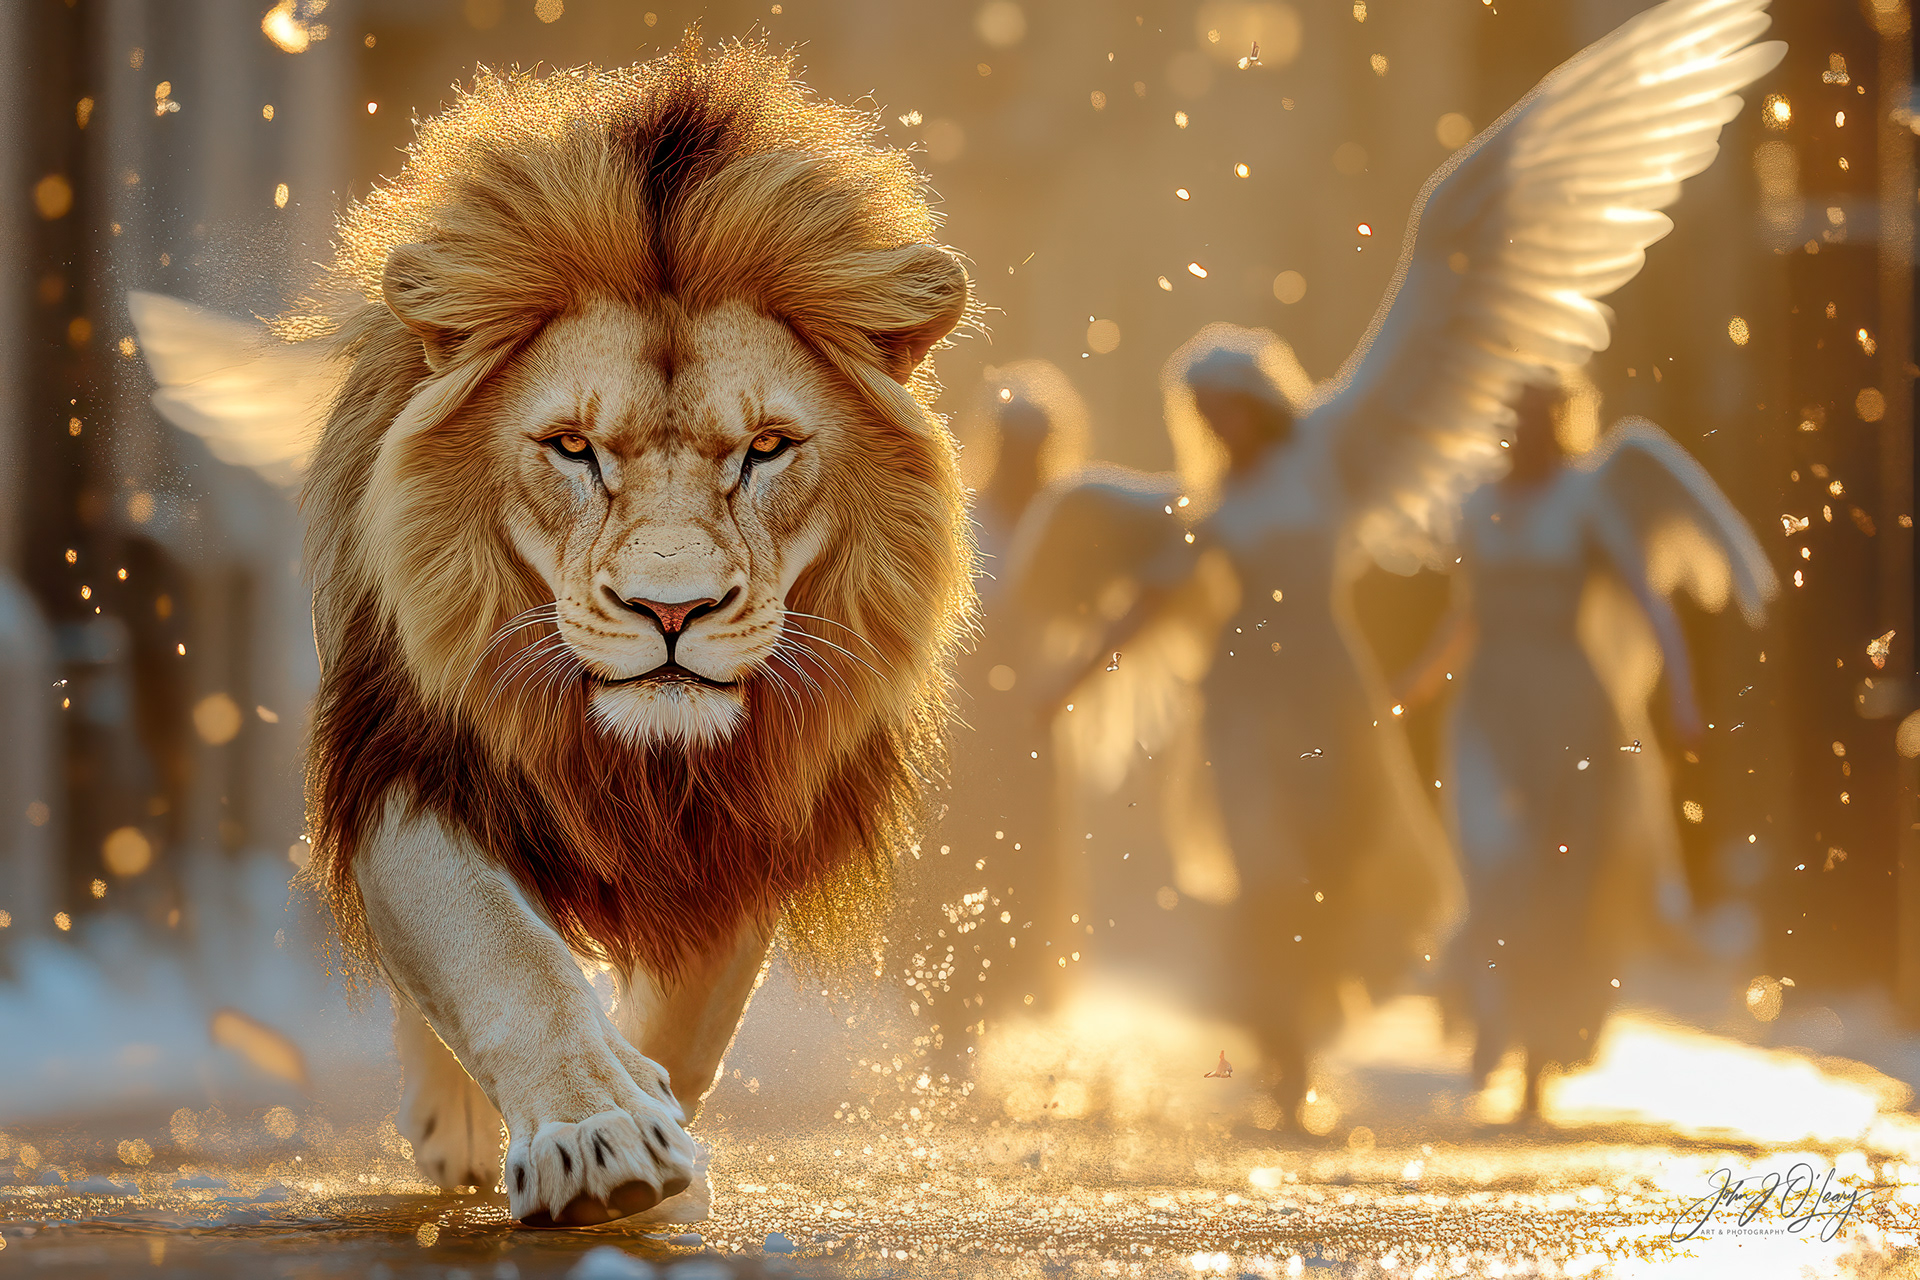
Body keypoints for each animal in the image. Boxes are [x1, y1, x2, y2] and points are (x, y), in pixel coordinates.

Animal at [132, 38, 972, 1226]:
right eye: (574, 447)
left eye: (766, 448)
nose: (672, 610)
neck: (639, 760)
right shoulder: (411, 759)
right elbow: (501, 957)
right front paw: (596, 1135)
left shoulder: (753, 807)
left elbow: (693, 1011)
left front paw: (660, 1139)